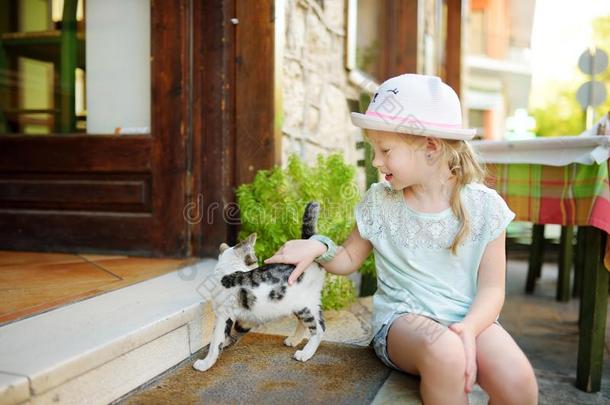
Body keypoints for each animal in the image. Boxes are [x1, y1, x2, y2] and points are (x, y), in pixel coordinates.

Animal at [194, 200, 328, 370]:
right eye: (254, 260)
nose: (257, 265)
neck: (228, 267)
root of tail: (309, 243)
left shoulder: (222, 314)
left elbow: (215, 341)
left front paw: (206, 363)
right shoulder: (226, 315)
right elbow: (224, 334)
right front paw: (227, 342)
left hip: (306, 304)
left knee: (319, 329)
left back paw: (305, 353)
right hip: (298, 304)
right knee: (304, 324)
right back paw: (294, 340)